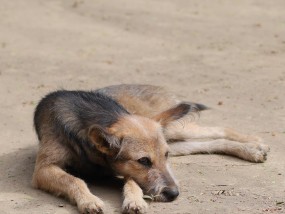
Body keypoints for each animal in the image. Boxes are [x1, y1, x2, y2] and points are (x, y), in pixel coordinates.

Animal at [32, 84, 268, 213]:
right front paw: (89, 200)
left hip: (174, 131)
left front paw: (135, 201)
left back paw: (253, 143)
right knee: (210, 142)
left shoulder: (123, 170)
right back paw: (252, 149)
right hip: (176, 138)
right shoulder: (43, 169)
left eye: (164, 156)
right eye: (144, 161)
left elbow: (133, 183)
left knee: (219, 128)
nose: (174, 194)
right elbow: (74, 180)